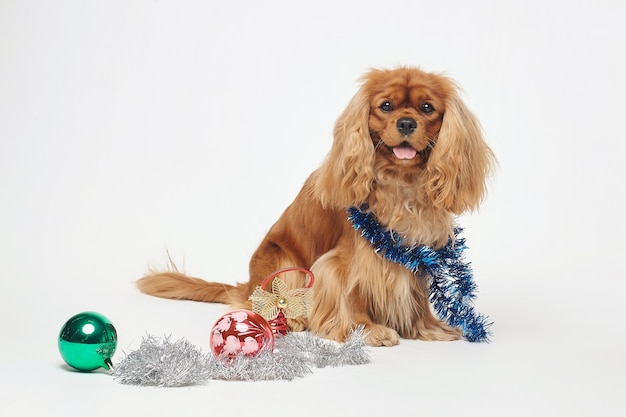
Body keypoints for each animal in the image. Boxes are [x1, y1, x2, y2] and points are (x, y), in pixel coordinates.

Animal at [136, 67, 492, 344]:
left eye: (427, 107)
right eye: (386, 106)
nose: (406, 123)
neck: (400, 185)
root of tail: (246, 284)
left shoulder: (417, 252)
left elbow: (417, 297)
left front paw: (427, 328)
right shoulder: (347, 260)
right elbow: (353, 292)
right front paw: (367, 329)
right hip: (284, 264)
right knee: (262, 304)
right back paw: (293, 320)